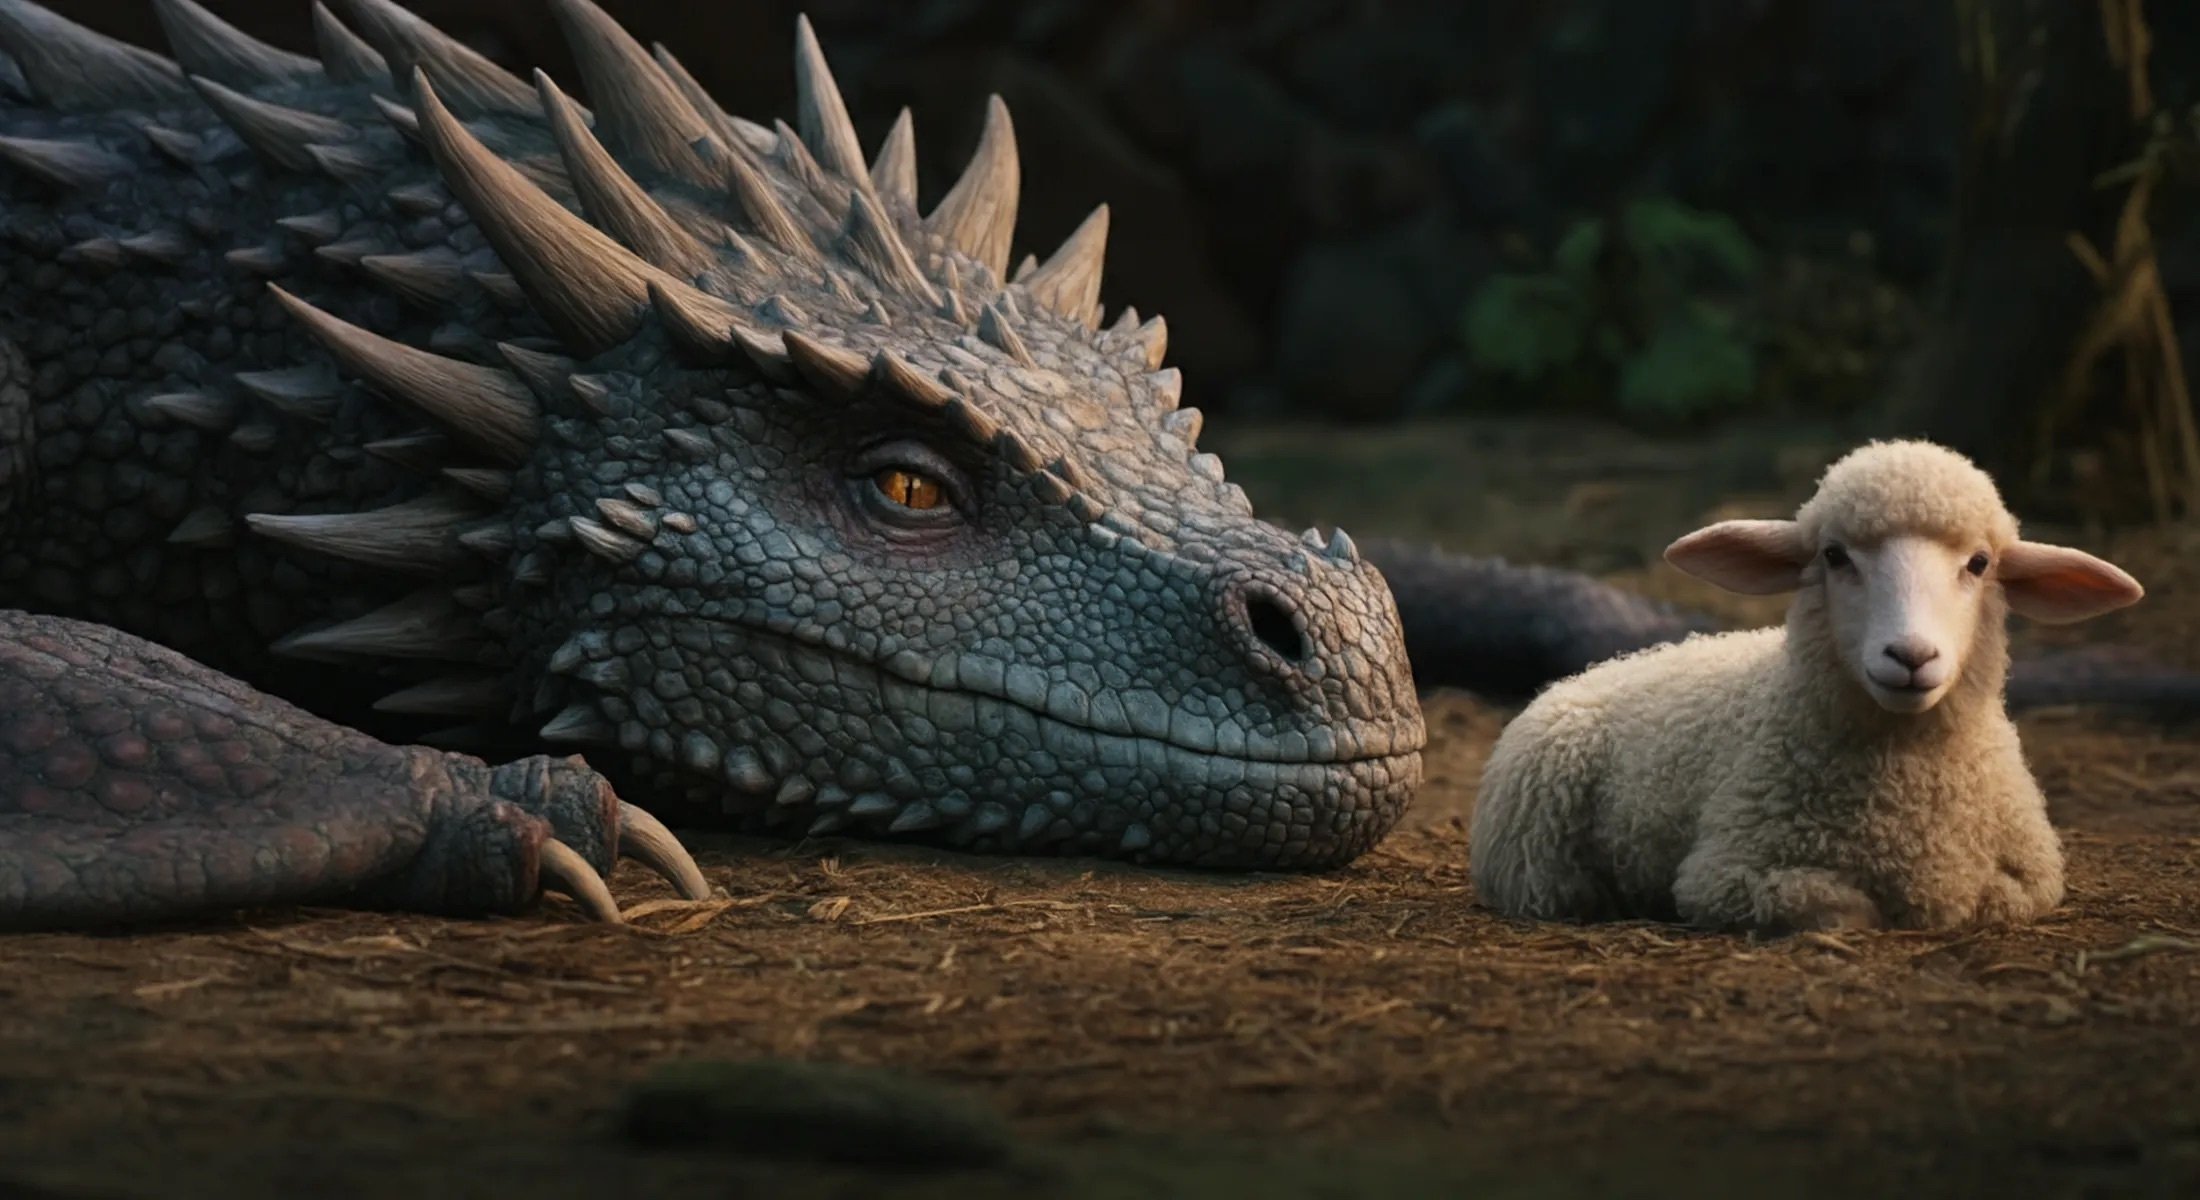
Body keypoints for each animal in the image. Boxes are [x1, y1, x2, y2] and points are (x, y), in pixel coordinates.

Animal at [1467, 440, 2145, 934]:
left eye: (1980, 564)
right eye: (1834, 556)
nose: (1910, 656)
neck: (1903, 791)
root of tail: (1594, 670)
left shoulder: (2034, 877)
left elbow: (1988, 900)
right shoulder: (1727, 874)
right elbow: (1845, 910)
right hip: (1536, 856)